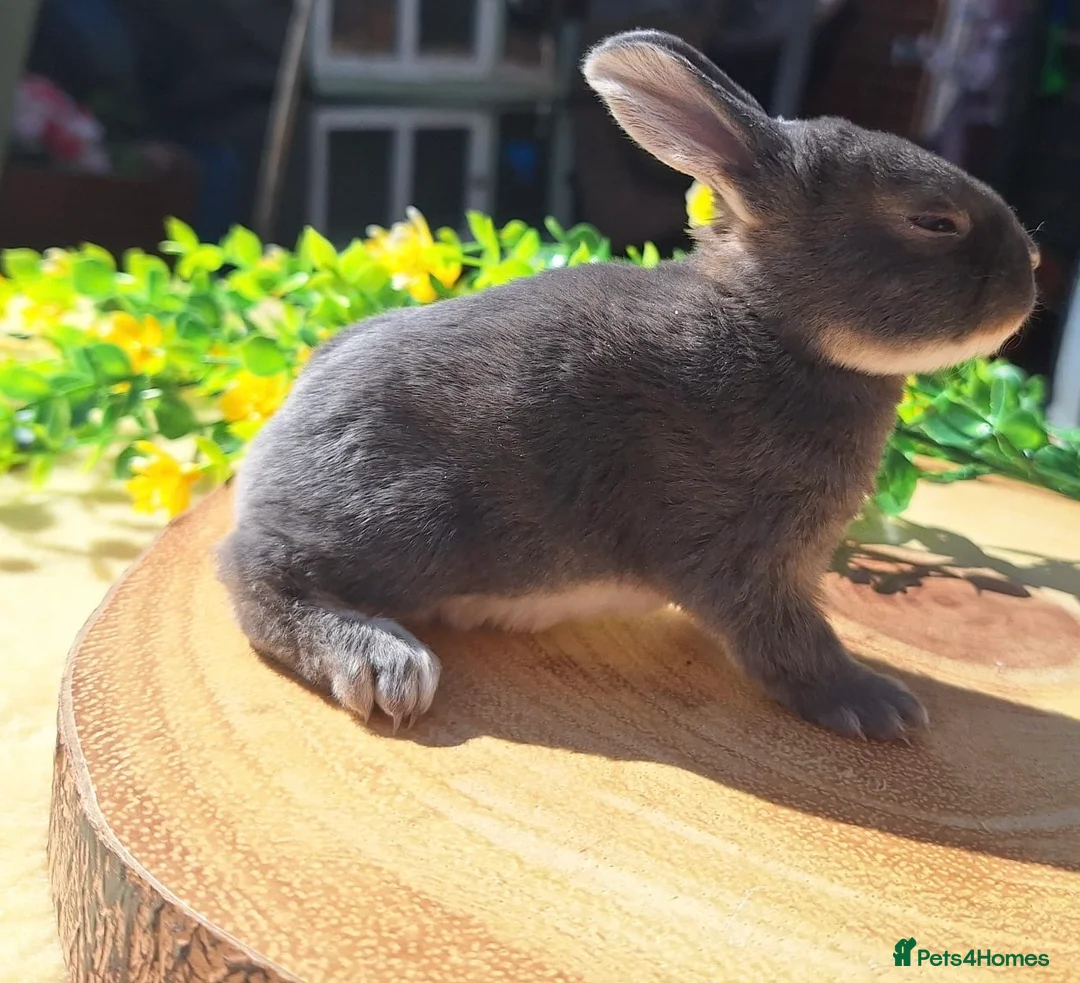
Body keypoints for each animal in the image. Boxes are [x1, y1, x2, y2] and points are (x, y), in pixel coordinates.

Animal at [217, 29, 1039, 742]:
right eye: (934, 221)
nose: (1030, 273)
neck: (773, 330)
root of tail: (274, 439)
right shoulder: (745, 555)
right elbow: (788, 643)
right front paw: (877, 705)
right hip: (409, 520)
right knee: (251, 572)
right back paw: (383, 663)